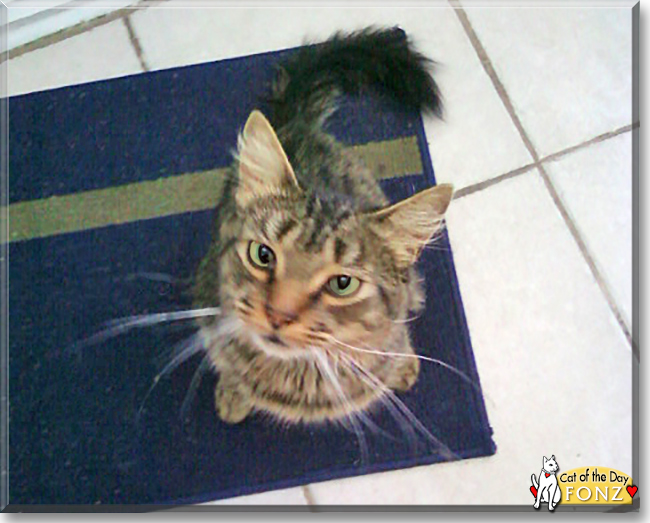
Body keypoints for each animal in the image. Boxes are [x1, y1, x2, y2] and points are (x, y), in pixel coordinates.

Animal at [191, 25, 456, 426]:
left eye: (342, 284)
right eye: (262, 255)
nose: (278, 315)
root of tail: (297, 123)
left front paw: (403, 365)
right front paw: (233, 392)